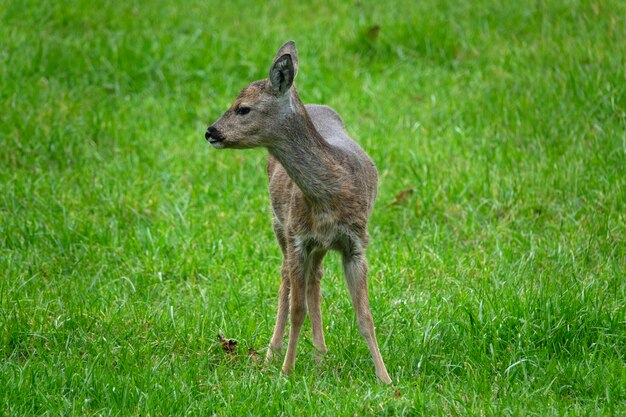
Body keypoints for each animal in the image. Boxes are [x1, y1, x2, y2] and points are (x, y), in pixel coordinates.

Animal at [205, 40, 390, 382]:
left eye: (243, 107)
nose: (211, 132)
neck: (329, 197)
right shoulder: (298, 237)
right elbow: (296, 310)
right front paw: (285, 371)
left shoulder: (356, 242)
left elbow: (365, 315)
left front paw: (384, 378)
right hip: (280, 224)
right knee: (287, 279)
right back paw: (272, 354)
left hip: (316, 243)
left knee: (315, 279)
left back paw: (320, 356)